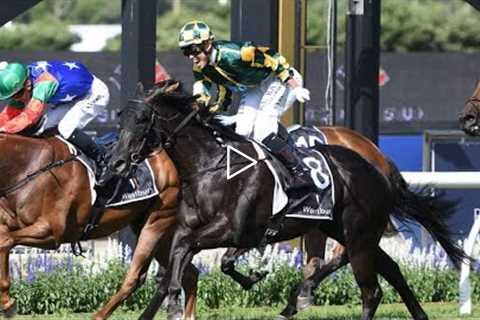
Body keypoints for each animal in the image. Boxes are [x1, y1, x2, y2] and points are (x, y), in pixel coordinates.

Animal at [0, 133, 197, 320]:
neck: (30, 167)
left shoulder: (51, 232)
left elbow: (5, 241)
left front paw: (7, 303)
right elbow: (5, 238)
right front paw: (7, 300)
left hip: (156, 222)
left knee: (135, 277)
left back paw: (100, 315)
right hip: (156, 231)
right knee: (190, 273)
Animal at [109, 82, 468, 320]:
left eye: (141, 120)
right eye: (120, 118)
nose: (116, 162)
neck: (212, 166)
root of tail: (379, 167)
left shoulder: (234, 230)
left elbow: (204, 254)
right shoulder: (193, 229)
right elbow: (183, 253)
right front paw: (175, 296)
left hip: (359, 235)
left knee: (371, 290)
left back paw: (302, 297)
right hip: (347, 232)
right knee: (391, 269)